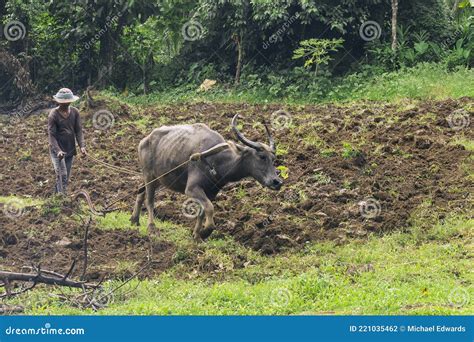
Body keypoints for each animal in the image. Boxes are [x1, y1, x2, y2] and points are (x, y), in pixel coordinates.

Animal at [131, 115, 282, 240]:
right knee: (149, 200)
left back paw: (134, 220)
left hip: (158, 178)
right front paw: (205, 232)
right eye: (261, 156)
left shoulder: (211, 192)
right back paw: (151, 228)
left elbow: (202, 212)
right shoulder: (192, 189)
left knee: (140, 190)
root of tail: (144, 141)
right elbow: (209, 208)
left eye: (273, 159)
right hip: (149, 176)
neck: (216, 161)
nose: (277, 182)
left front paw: (197, 235)